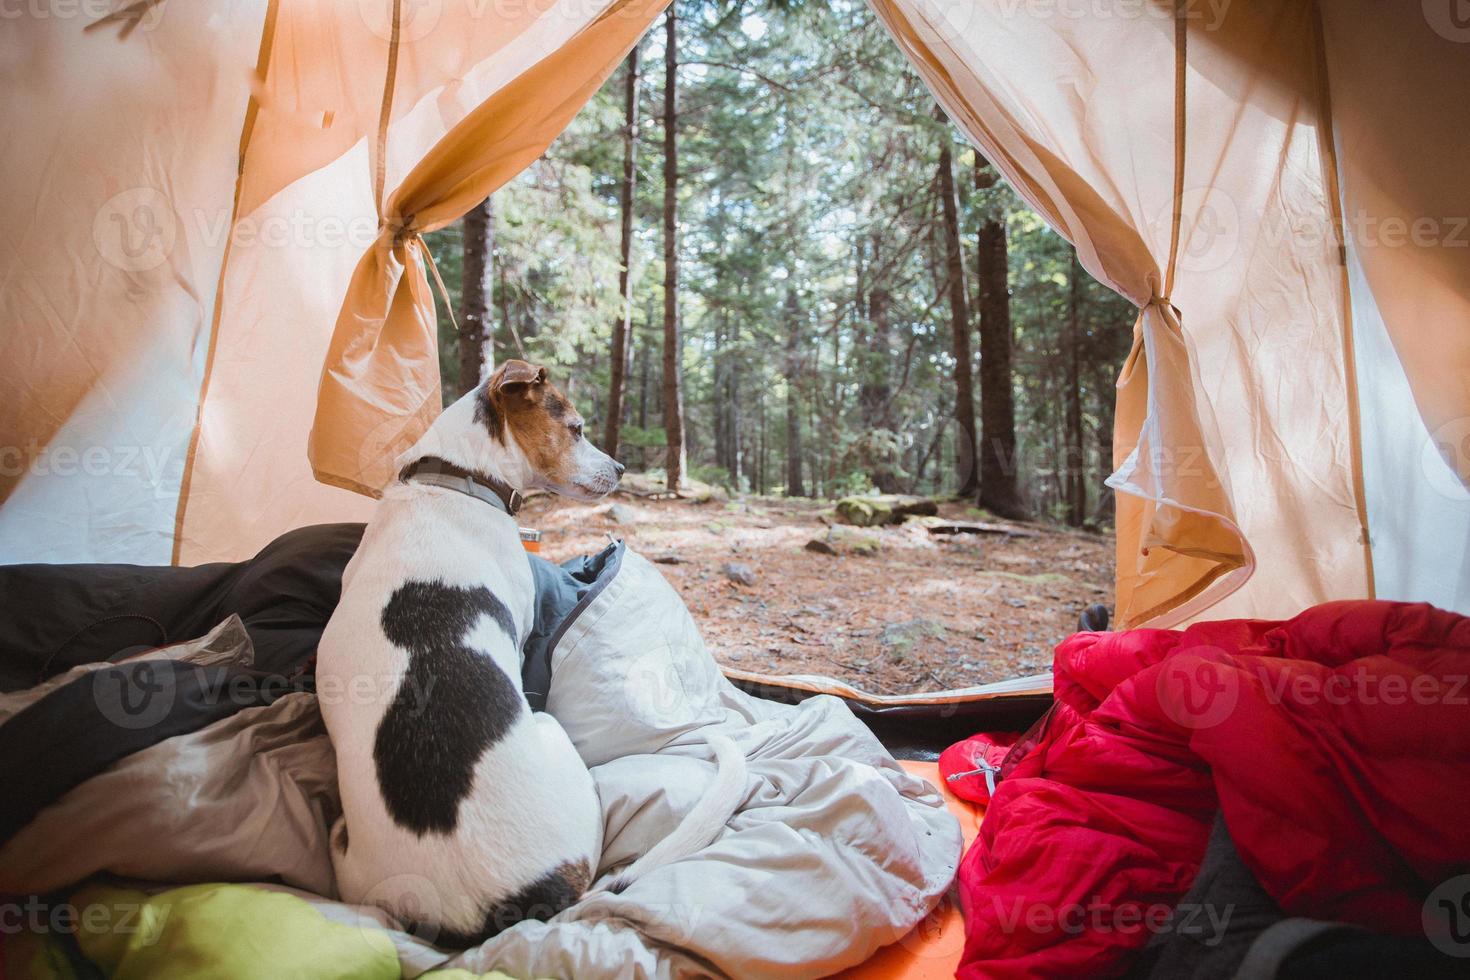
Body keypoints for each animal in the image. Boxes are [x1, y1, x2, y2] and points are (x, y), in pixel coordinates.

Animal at [320, 362, 746, 952]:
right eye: (577, 427)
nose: (621, 467)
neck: (454, 478)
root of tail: (516, 905)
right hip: (552, 734)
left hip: (353, 869)